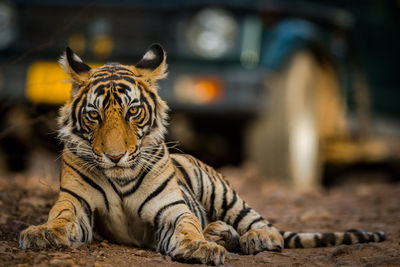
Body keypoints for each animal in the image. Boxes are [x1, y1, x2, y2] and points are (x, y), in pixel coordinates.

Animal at [18, 44, 384, 266]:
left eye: (133, 111)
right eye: (94, 115)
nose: (115, 156)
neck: (120, 177)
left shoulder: (172, 209)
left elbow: (187, 226)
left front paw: (200, 247)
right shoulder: (75, 202)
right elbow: (61, 218)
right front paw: (40, 232)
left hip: (221, 191)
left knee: (263, 223)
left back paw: (255, 238)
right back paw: (222, 234)